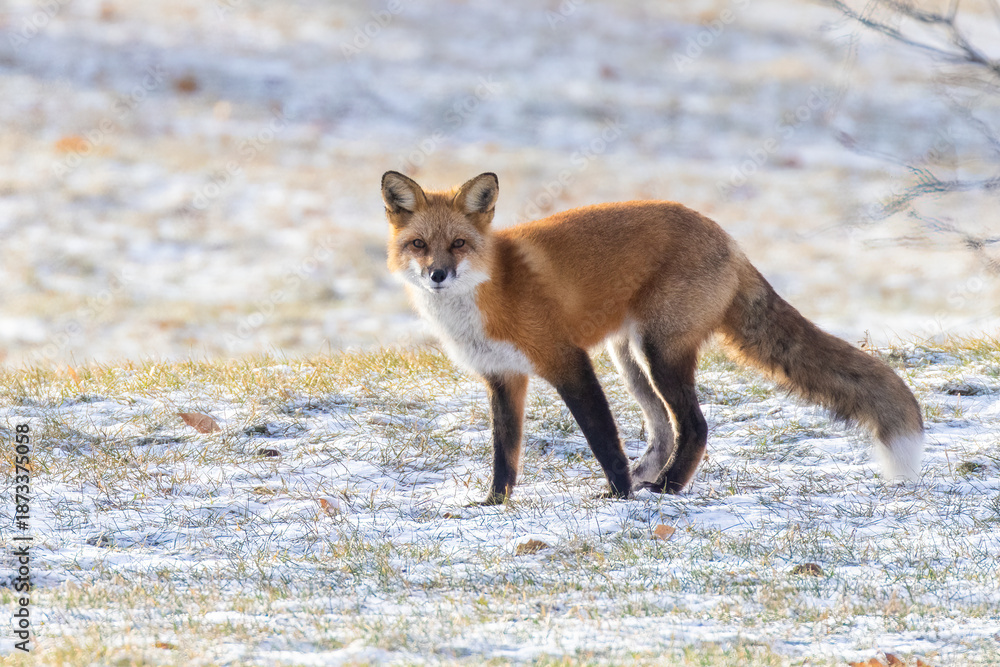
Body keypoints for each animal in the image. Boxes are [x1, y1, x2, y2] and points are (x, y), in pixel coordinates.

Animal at [381, 170, 924, 504]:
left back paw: (666, 488)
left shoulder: (566, 360)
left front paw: (617, 496)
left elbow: (602, 437)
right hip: (630, 359)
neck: (490, 293)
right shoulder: (503, 377)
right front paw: (494, 503)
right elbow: (505, 453)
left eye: (459, 244)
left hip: (658, 353)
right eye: (419, 245)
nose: (438, 275)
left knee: (695, 427)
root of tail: (729, 240)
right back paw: (652, 478)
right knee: (664, 429)